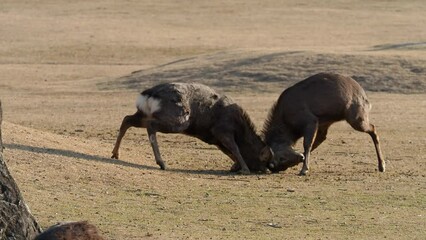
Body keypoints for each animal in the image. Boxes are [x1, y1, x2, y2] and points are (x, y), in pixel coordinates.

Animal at [110, 82, 272, 172]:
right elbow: (234, 148)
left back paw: (115, 154)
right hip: (178, 121)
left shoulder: (213, 139)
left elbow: (228, 151)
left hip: (142, 114)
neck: (240, 127)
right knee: (150, 126)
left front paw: (236, 166)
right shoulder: (222, 131)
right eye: (264, 159)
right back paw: (162, 163)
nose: (267, 170)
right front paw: (244, 169)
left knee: (127, 119)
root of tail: (148, 95)